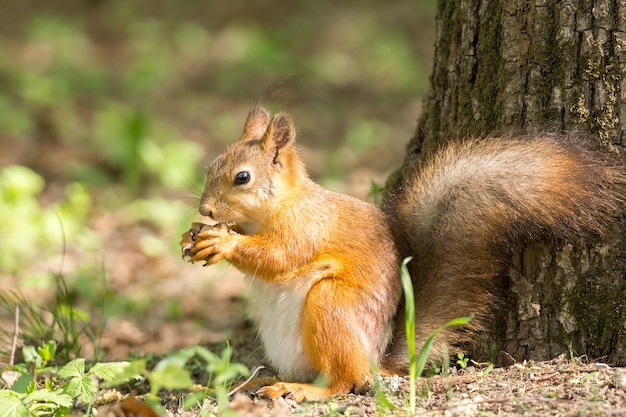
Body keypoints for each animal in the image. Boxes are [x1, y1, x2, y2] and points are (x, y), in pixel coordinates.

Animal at [178, 103, 620, 400]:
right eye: (212, 166)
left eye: (243, 177)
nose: (206, 210)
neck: (276, 208)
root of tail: (376, 358)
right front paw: (195, 235)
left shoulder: (306, 230)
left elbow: (279, 258)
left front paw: (223, 241)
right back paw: (263, 380)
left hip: (332, 307)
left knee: (345, 383)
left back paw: (303, 391)